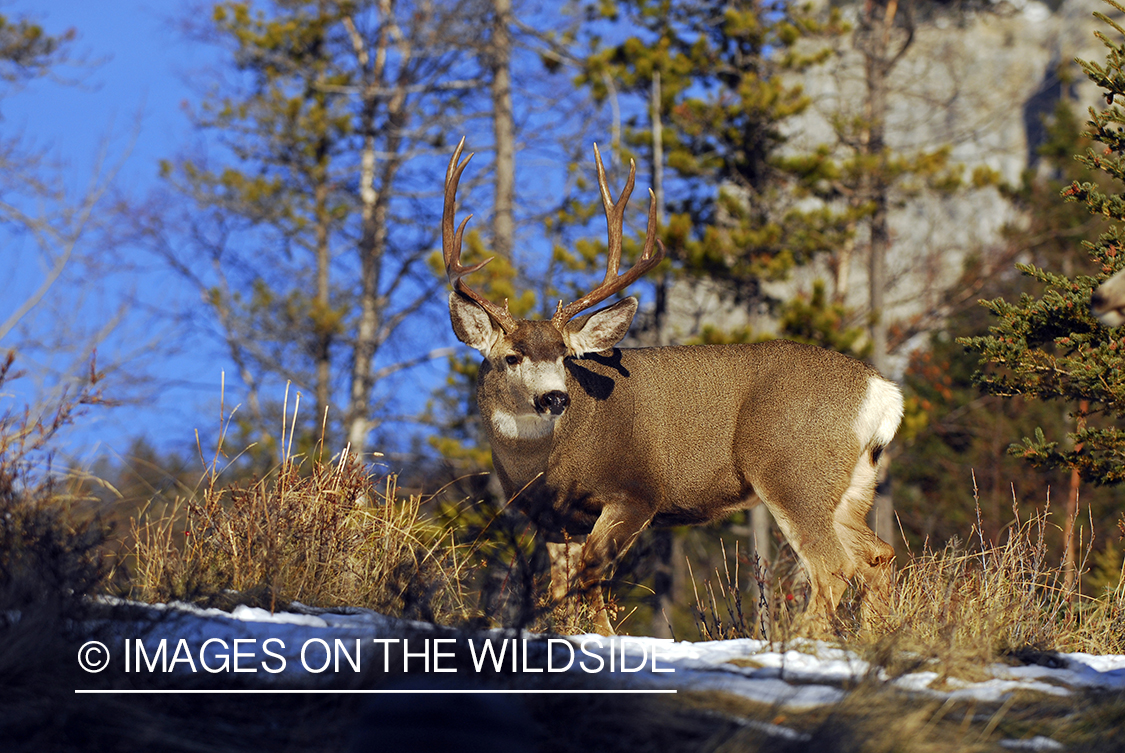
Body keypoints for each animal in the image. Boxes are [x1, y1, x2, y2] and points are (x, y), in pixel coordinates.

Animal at [443, 138, 905, 636]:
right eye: (511, 357)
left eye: (566, 357)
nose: (555, 397)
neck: (542, 464)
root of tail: (881, 390)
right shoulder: (552, 521)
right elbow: (562, 592)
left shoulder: (637, 492)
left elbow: (591, 573)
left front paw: (605, 639)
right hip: (852, 483)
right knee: (877, 556)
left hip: (793, 468)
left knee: (833, 565)